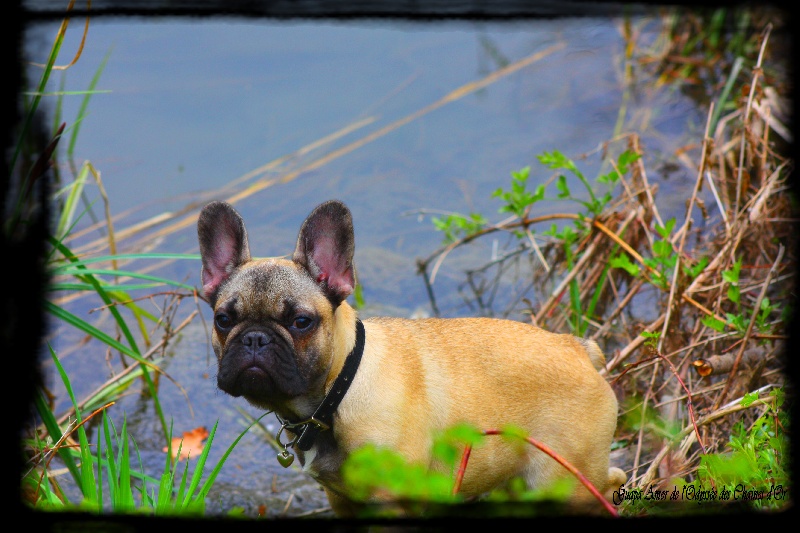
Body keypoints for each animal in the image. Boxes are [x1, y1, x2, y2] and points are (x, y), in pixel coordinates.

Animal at [197, 198, 628, 516]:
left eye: (301, 322)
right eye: (222, 319)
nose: (255, 339)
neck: (338, 391)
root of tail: (577, 347)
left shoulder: (392, 502)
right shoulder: (343, 500)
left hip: (564, 480)